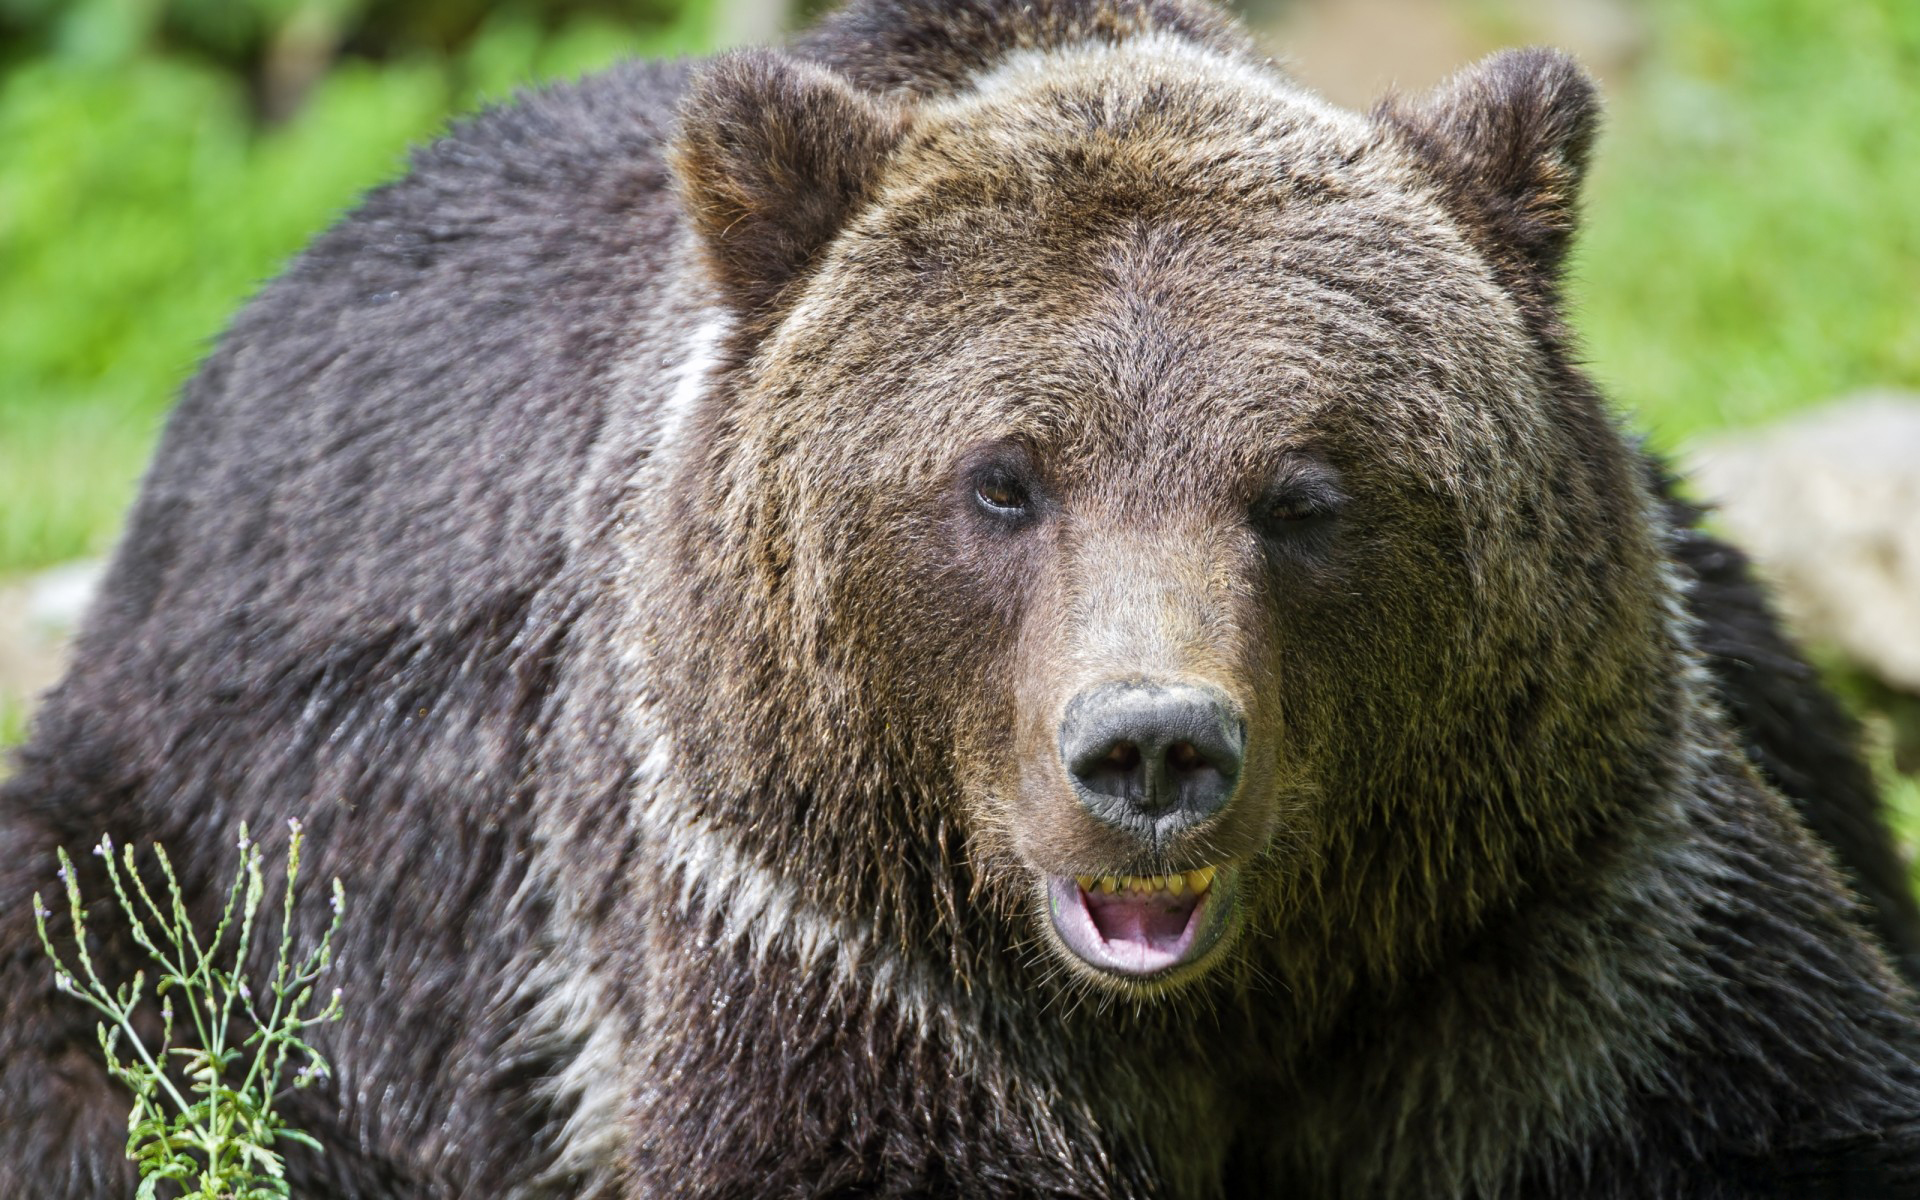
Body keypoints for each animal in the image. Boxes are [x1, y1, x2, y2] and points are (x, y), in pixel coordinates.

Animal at [3, 0, 1920, 1190]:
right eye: (1002, 480)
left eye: (1307, 491)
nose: (1153, 752)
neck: (1234, 1005)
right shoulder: (839, 948)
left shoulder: (1553, 917)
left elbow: (1779, 1107)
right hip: (202, 856)